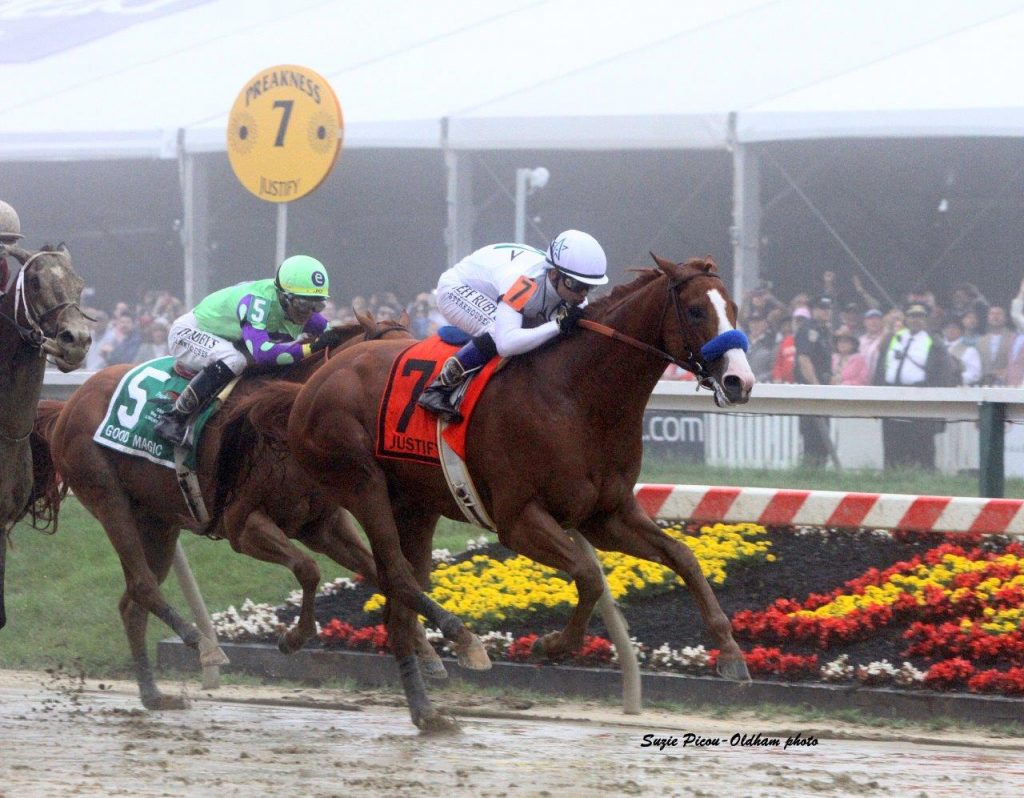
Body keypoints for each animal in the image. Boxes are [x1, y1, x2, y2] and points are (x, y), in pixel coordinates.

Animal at [25, 314, 484, 711]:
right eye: (395, 369)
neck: (285, 420)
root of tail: (68, 404)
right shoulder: (243, 525)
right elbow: (309, 570)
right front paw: (293, 638)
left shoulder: (324, 524)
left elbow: (380, 573)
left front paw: (441, 648)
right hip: (109, 499)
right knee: (142, 585)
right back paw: (203, 644)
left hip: (158, 522)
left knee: (131, 603)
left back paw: (155, 694)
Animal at [233, 255, 756, 729]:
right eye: (695, 310)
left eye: (733, 307)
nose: (740, 381)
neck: (578, 396)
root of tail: (312, 383)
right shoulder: (518, 520)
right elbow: (589, 574)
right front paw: (554, 645)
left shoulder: (606, 515)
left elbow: (683, 556)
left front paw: (730, 651)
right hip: (361, 482)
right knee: (396, 575)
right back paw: (461, 640)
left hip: (415, 505)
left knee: (400, 601)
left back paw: (427, 713)